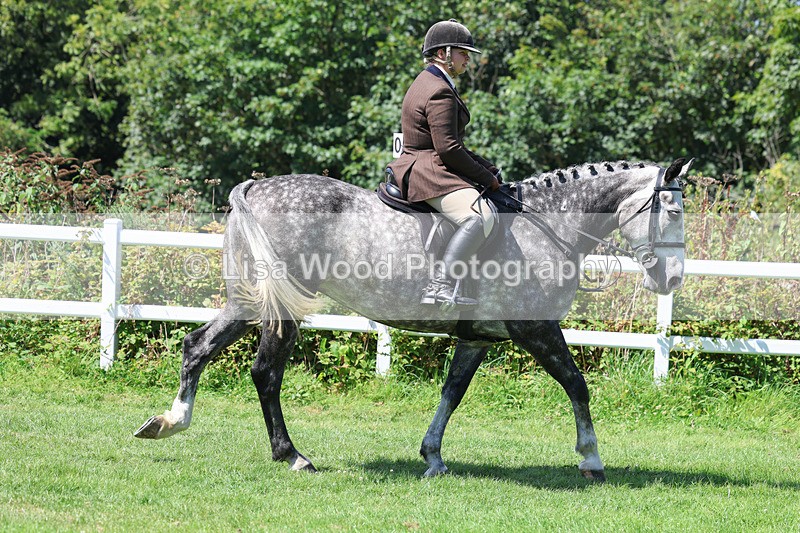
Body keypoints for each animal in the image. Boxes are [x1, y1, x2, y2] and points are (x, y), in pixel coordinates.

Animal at [135, 158, 692, 482]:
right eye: (671, 211)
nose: (671, 278)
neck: (544, 226)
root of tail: (255, 189)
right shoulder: (535, 330)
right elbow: (577, 384)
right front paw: (591, 459)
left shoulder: (478, 338)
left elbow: (452, 392)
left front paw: (433, 457)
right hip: (282, 308)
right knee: (265, 373)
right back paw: (293, 456)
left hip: (251, 303)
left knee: (198, 346)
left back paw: (169, 421)